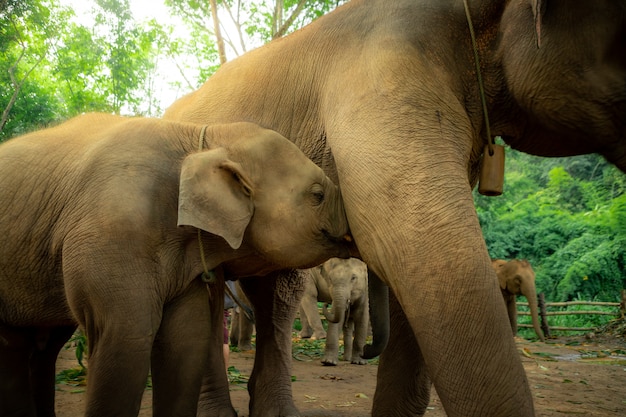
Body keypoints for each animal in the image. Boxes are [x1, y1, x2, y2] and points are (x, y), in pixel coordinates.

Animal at [0, 113, 352, 416]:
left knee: (37, 345)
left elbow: (186, 342)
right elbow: (126, 342)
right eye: (317, 195)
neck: (202, 141)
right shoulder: (111, 234)